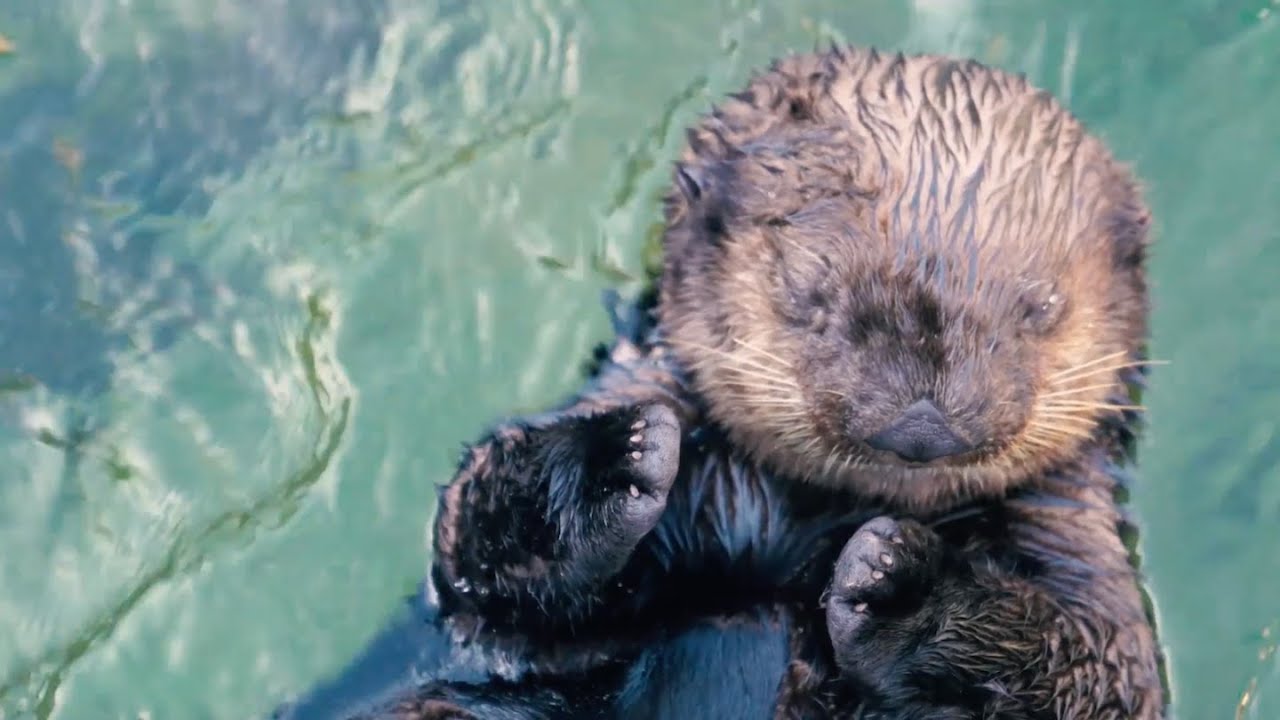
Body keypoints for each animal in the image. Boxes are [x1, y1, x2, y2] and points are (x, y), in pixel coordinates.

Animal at [352, 46, 1165, 719]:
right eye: (808, 290)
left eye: (1042, 308)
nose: (923, 426)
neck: (798, 523)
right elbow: (470, 560)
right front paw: (616, 458)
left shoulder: (1074, 534)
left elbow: (1102, 671)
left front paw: (898, 588)